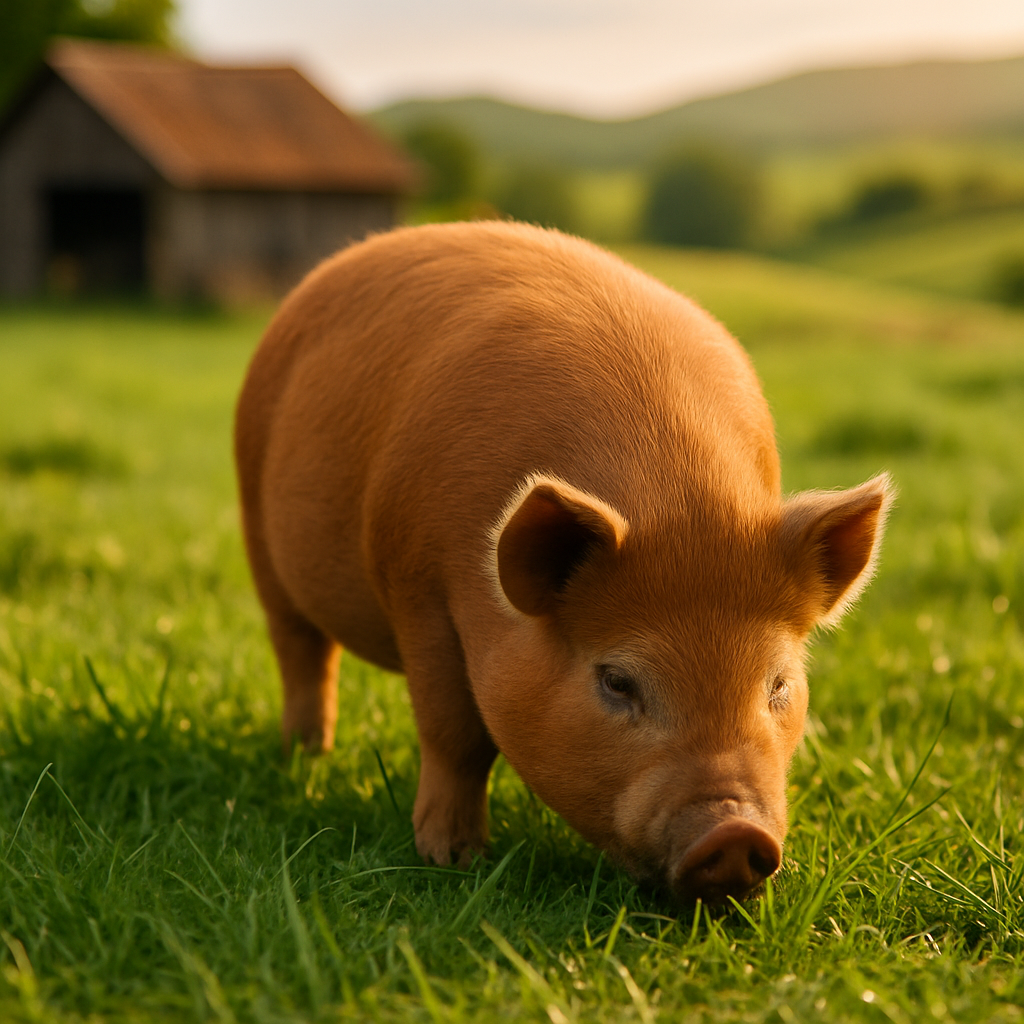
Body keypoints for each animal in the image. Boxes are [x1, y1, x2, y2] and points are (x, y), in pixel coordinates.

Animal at [234, 221, 892, 904]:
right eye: (617, 681)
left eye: (778, 684)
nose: (734, 835)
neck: (680, 501)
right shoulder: (417, 586)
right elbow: (454, 734)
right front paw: (453, 861)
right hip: (255, 514)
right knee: (302, 651)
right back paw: (306, 757)